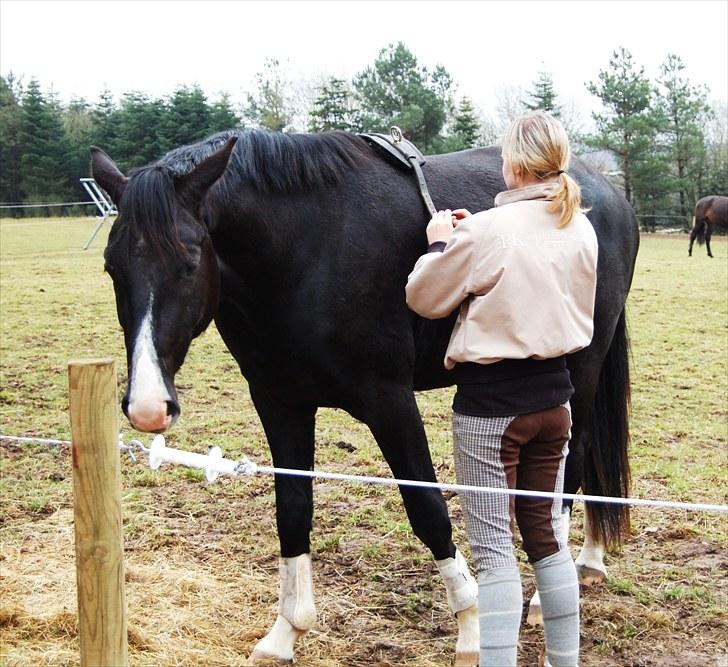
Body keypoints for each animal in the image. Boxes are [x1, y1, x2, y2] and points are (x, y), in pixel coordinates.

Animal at [91, 129, 636, 664]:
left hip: (580, 368)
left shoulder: (389, 402)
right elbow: (293, 507)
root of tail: (603, 189)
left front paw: (471, 628)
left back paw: (548, 595)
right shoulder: (280, 401)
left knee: (569, 469)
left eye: (189, 262)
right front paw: (286, 632)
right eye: (111, 267)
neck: (305, 250)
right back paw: (588, 560)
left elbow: (427, 508)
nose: (147, 406)